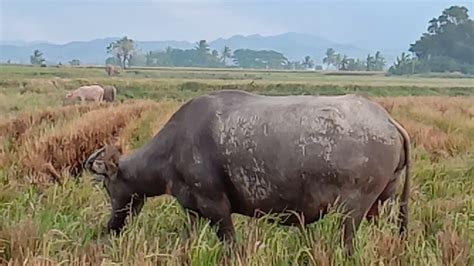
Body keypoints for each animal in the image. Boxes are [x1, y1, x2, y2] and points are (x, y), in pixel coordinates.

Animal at [85, 90, 412, 255]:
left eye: (107, 186)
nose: (111, 226)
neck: (175, 145)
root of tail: (387, 121)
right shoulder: (193, 210)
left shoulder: (216, 207)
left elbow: (231, 245)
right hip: (380, 206)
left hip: (351, 210)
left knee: (348, 244)